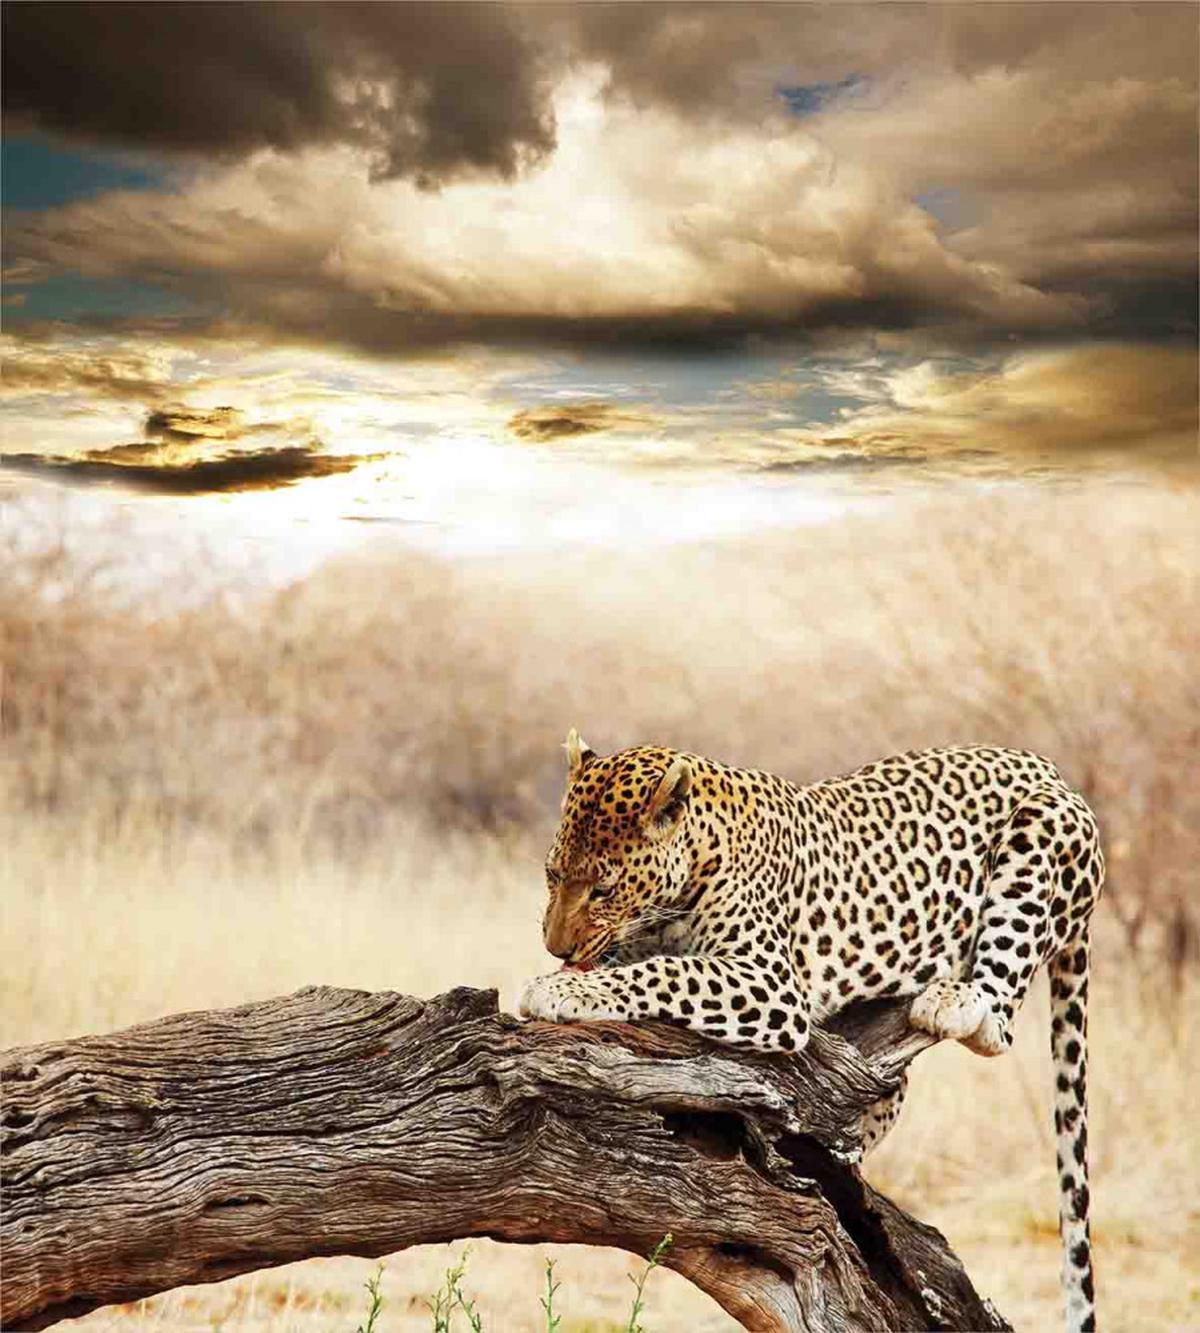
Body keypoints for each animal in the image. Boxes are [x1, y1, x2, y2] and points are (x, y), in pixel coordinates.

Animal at [520, 730, 1104, 1333]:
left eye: (603, 889)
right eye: (552, 875)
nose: (555, 947)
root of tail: (1047, 767)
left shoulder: (771, 982)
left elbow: (667, 972)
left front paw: (562, 990)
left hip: (1041, 835)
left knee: (998, 1021)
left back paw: (953, 1001)